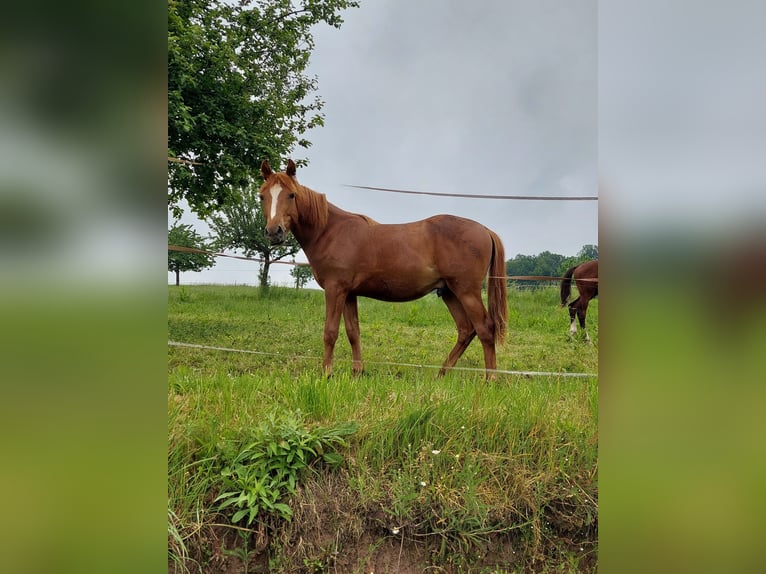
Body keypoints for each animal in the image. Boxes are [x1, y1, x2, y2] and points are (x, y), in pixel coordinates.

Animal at [258, 159, 507, 379]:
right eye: (262, 195)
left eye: (291, 194)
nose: (274, 232)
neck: (330, 231)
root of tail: (485, 230)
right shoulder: (349, 294)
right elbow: (353, 332)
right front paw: (358, 372)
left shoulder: (335, 289)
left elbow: (330, 332)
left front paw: (326, 374)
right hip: (448, 292)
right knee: (466, 330)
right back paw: (441, 374)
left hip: (466, 291)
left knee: (485, 329)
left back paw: (491, 379)